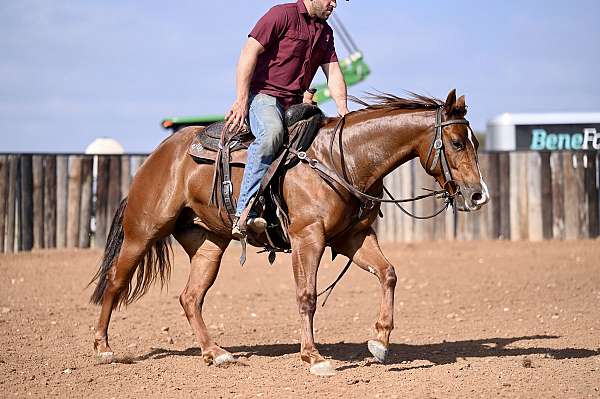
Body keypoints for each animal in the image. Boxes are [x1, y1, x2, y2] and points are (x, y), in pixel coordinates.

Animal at [91, 89, 490, 376]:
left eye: (475, 142)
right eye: (457, 143)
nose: (478, 195)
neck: (341, 158)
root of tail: (158, 155)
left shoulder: (354, 237)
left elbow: (388, 273)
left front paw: (379, 341)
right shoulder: (307, 239)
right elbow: (307, 295)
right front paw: (313, 357)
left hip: (209, 245)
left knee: (190, 297)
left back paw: (215, 353)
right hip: (142, 232)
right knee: (115, 281)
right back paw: (104, 348)